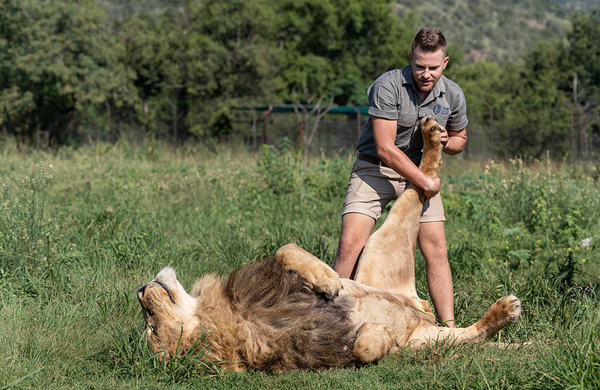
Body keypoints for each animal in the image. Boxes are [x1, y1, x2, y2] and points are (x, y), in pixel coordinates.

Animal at [136, 116, 520, 372]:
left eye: (150, 324)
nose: (140, 290)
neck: (233, 316)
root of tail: (420, 307)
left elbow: (286, 248)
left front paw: (329, 281)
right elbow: (364, 346)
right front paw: (377, 335)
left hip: (379, 252)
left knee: (421, 183)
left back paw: (430, 133)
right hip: (427, 337)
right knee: (471, 335)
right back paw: (504, 310)